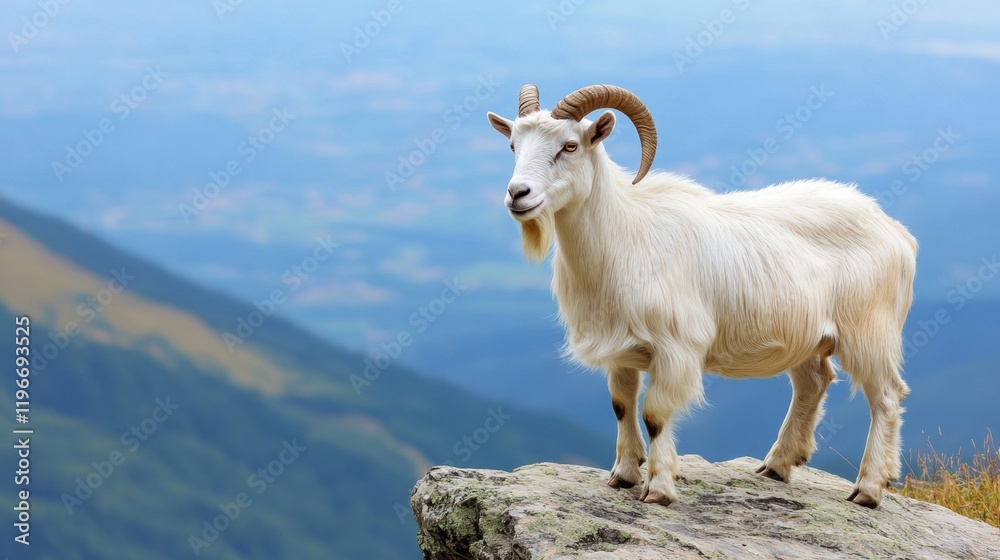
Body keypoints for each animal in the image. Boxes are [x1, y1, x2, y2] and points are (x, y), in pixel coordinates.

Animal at [486, 84, 917, 508]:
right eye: (513, 145)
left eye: (570, 145)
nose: (517, 194)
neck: (625, 236)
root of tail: (896, 232)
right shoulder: (620, 350)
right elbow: (622, 405)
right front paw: (622, 476)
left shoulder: (675, 348)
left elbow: (655, 414)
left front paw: (658, 489)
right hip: (806, 336)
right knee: (814, 381)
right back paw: (776, 466)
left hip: (868, 331)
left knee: (886, 396)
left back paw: (868, 490)